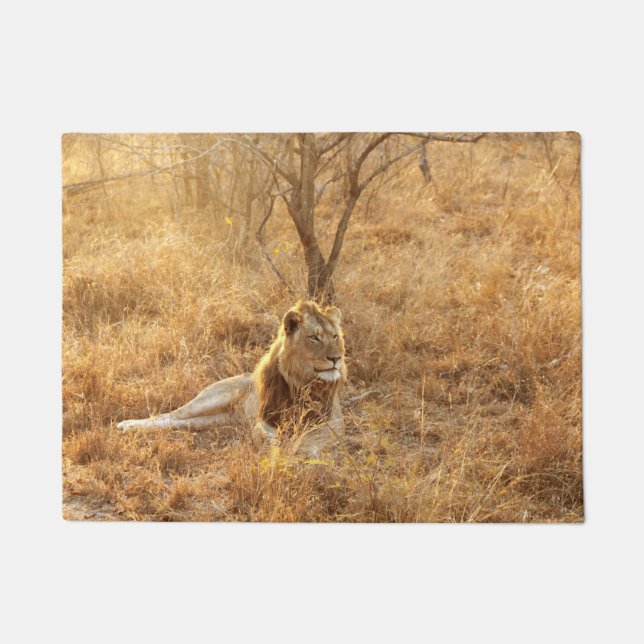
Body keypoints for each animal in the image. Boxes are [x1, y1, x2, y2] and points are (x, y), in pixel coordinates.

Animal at [116, 300, 347, 452]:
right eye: (314, 338)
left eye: (335, 336)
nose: (336, 358)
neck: (303, 381)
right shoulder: (264, 418)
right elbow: (263, 434)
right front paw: (275, 447)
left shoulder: (333, 421)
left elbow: (313, 438)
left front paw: (299, 448)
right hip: (210, 399)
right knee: (171, 415)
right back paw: (127, 425)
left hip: (215, 419)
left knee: (180, 422)